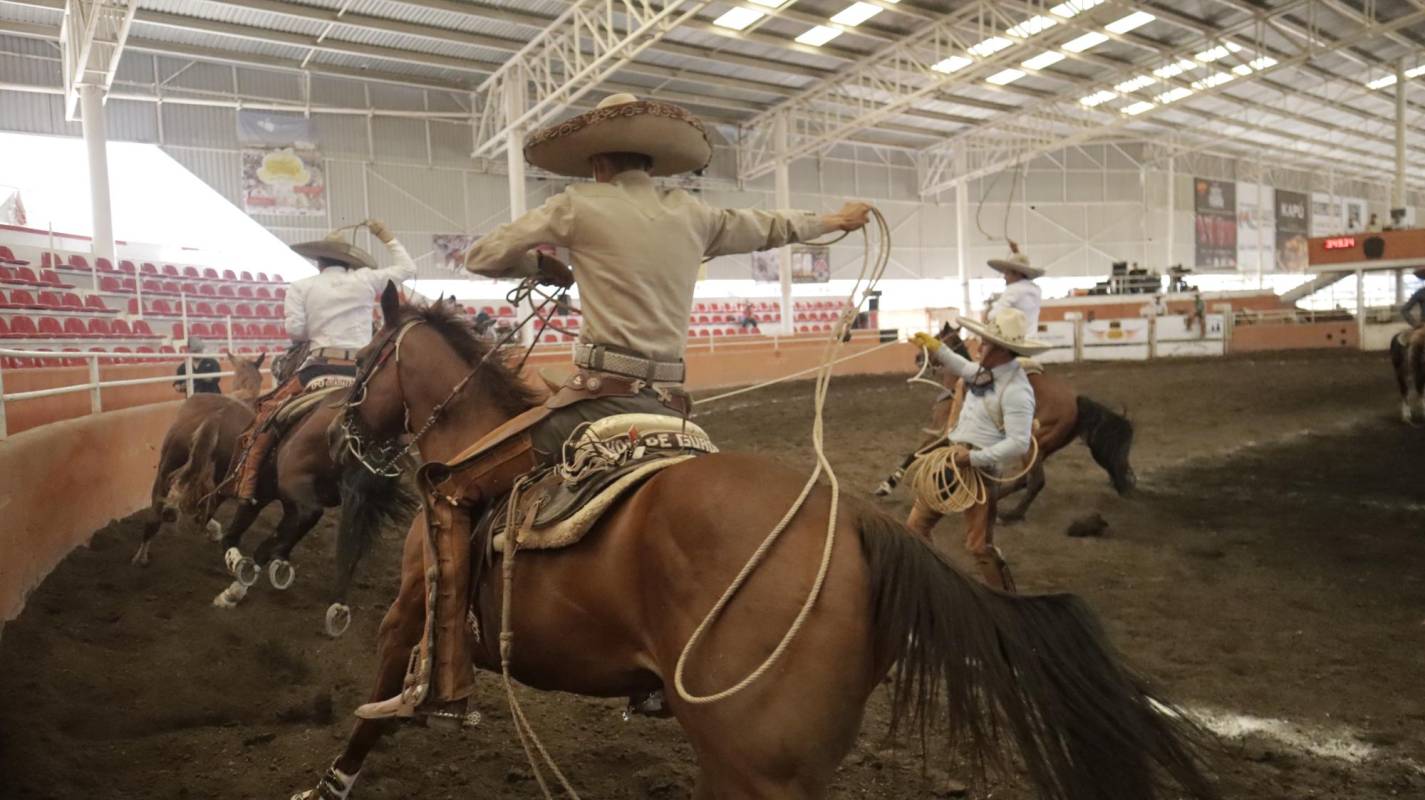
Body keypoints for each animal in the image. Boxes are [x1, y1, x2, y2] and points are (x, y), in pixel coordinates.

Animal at [877, 320, 1134, 521]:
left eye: (941, 337)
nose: (918, 357)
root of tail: (1075, 403)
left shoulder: (945, 435)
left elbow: (913, 455)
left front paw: (886, 486)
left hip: (1032, 445)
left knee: (1035, 481)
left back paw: (1011, 514)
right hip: (1041, 449)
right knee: (1024, 480)